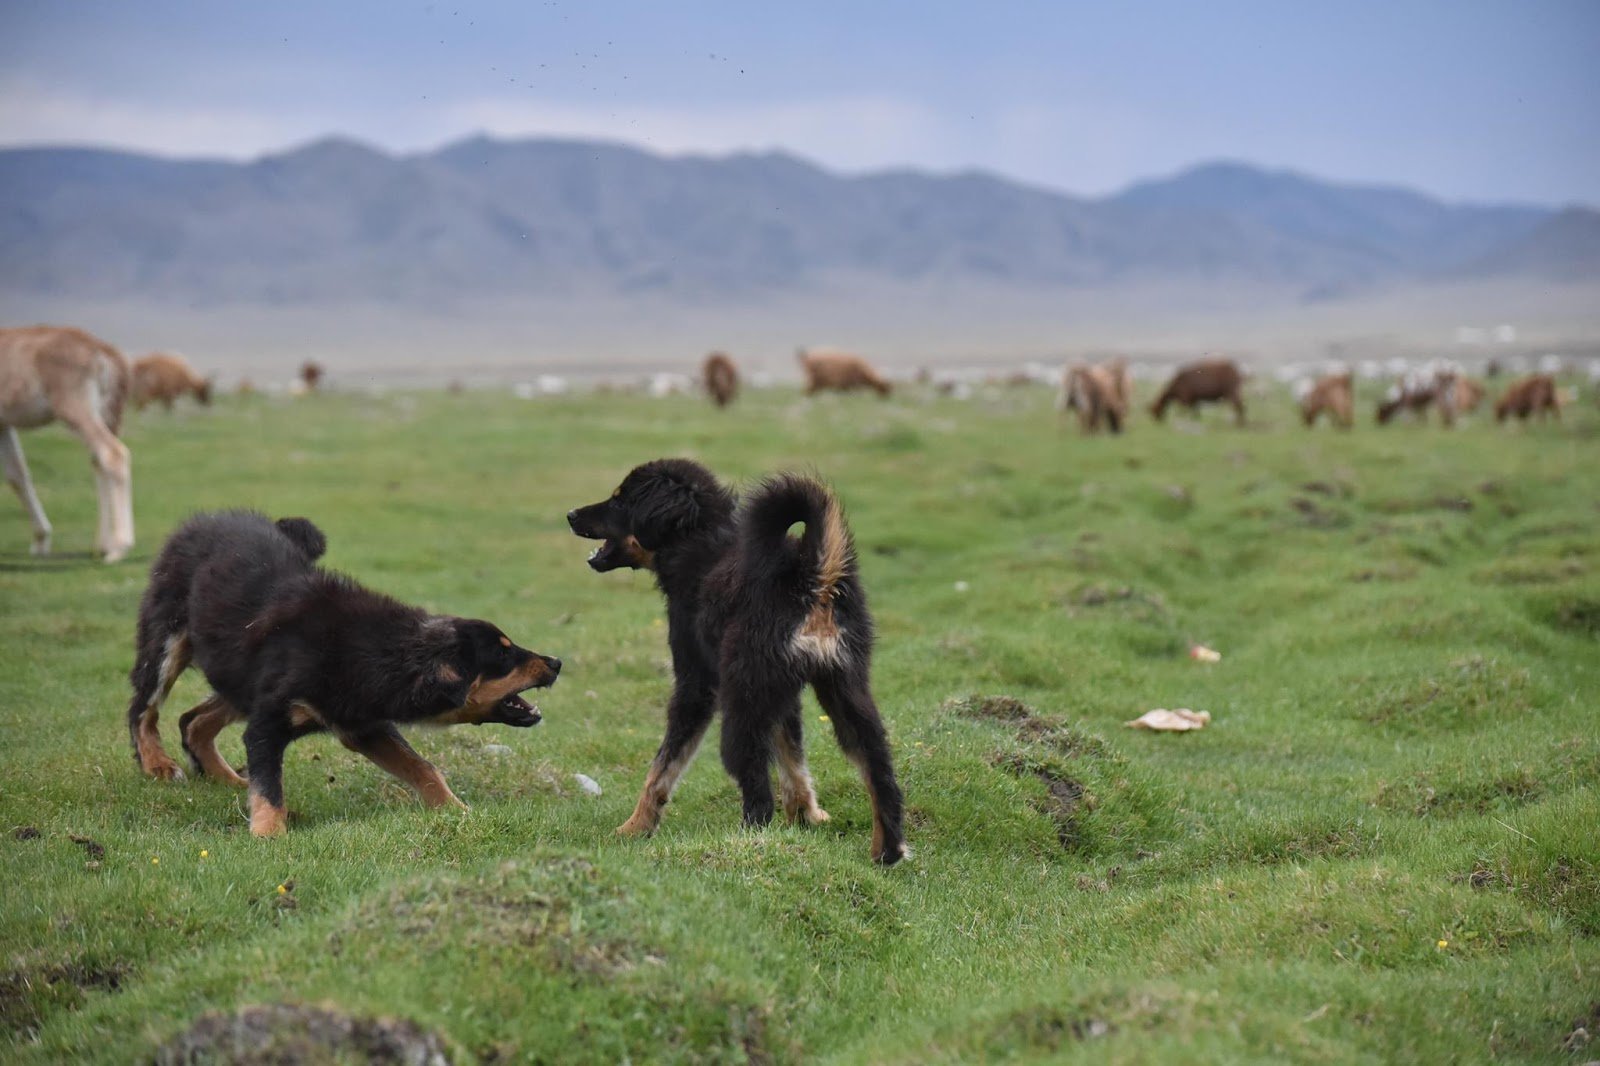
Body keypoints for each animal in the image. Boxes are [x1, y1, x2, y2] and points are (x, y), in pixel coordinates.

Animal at [126, 512, 563, 832]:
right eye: (503, 655)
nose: (557, 663)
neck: (379, 652)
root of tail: (205, 519)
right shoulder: (269, 722)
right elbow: (270, 788)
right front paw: (269, 836)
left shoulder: (362, 723)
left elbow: (424, 768)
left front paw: (460, 813)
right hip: (168, 641)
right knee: (143, 709)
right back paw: (157, 765)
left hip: (238, 676)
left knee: (193, 720)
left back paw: (227, 779)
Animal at [569, 457, 908, 864]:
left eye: (620, 500)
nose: (571, 514)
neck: (696, 540)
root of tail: (808, 575)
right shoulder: (781, 690)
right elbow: (793, 759)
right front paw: (806, 816)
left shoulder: (697, 684)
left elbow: (662, 768)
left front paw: (634, 828)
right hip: (845, 687)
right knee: (879, 771)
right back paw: (887, 851)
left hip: (742, 702)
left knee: (757, 790)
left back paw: (745, 841)